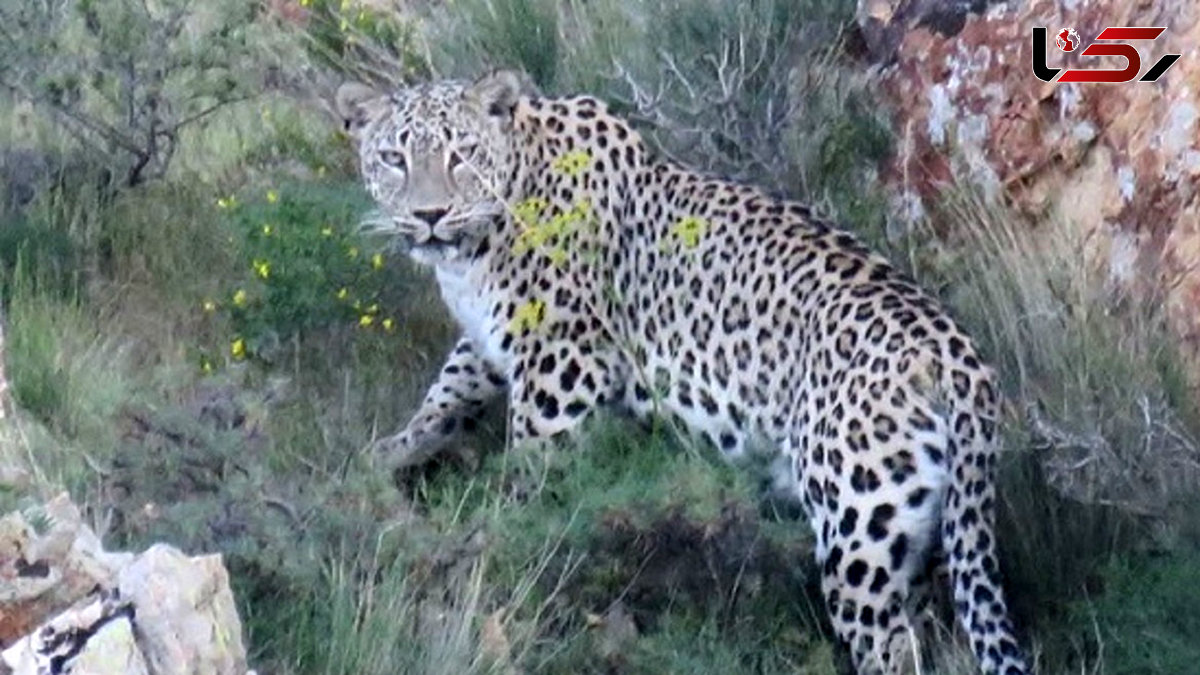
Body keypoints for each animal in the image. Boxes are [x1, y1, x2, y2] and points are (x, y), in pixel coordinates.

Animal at [336, 69, 1032, 672]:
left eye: (462, 154)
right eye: (393, 159)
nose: (428, 215)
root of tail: (961, 358)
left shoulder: (563, 364)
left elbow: (530, 469)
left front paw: (500, 536)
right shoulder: (493, 341)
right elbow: (448, 391)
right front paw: (389, 452)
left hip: (859, 530)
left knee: (891, 646)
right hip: (919, 528)